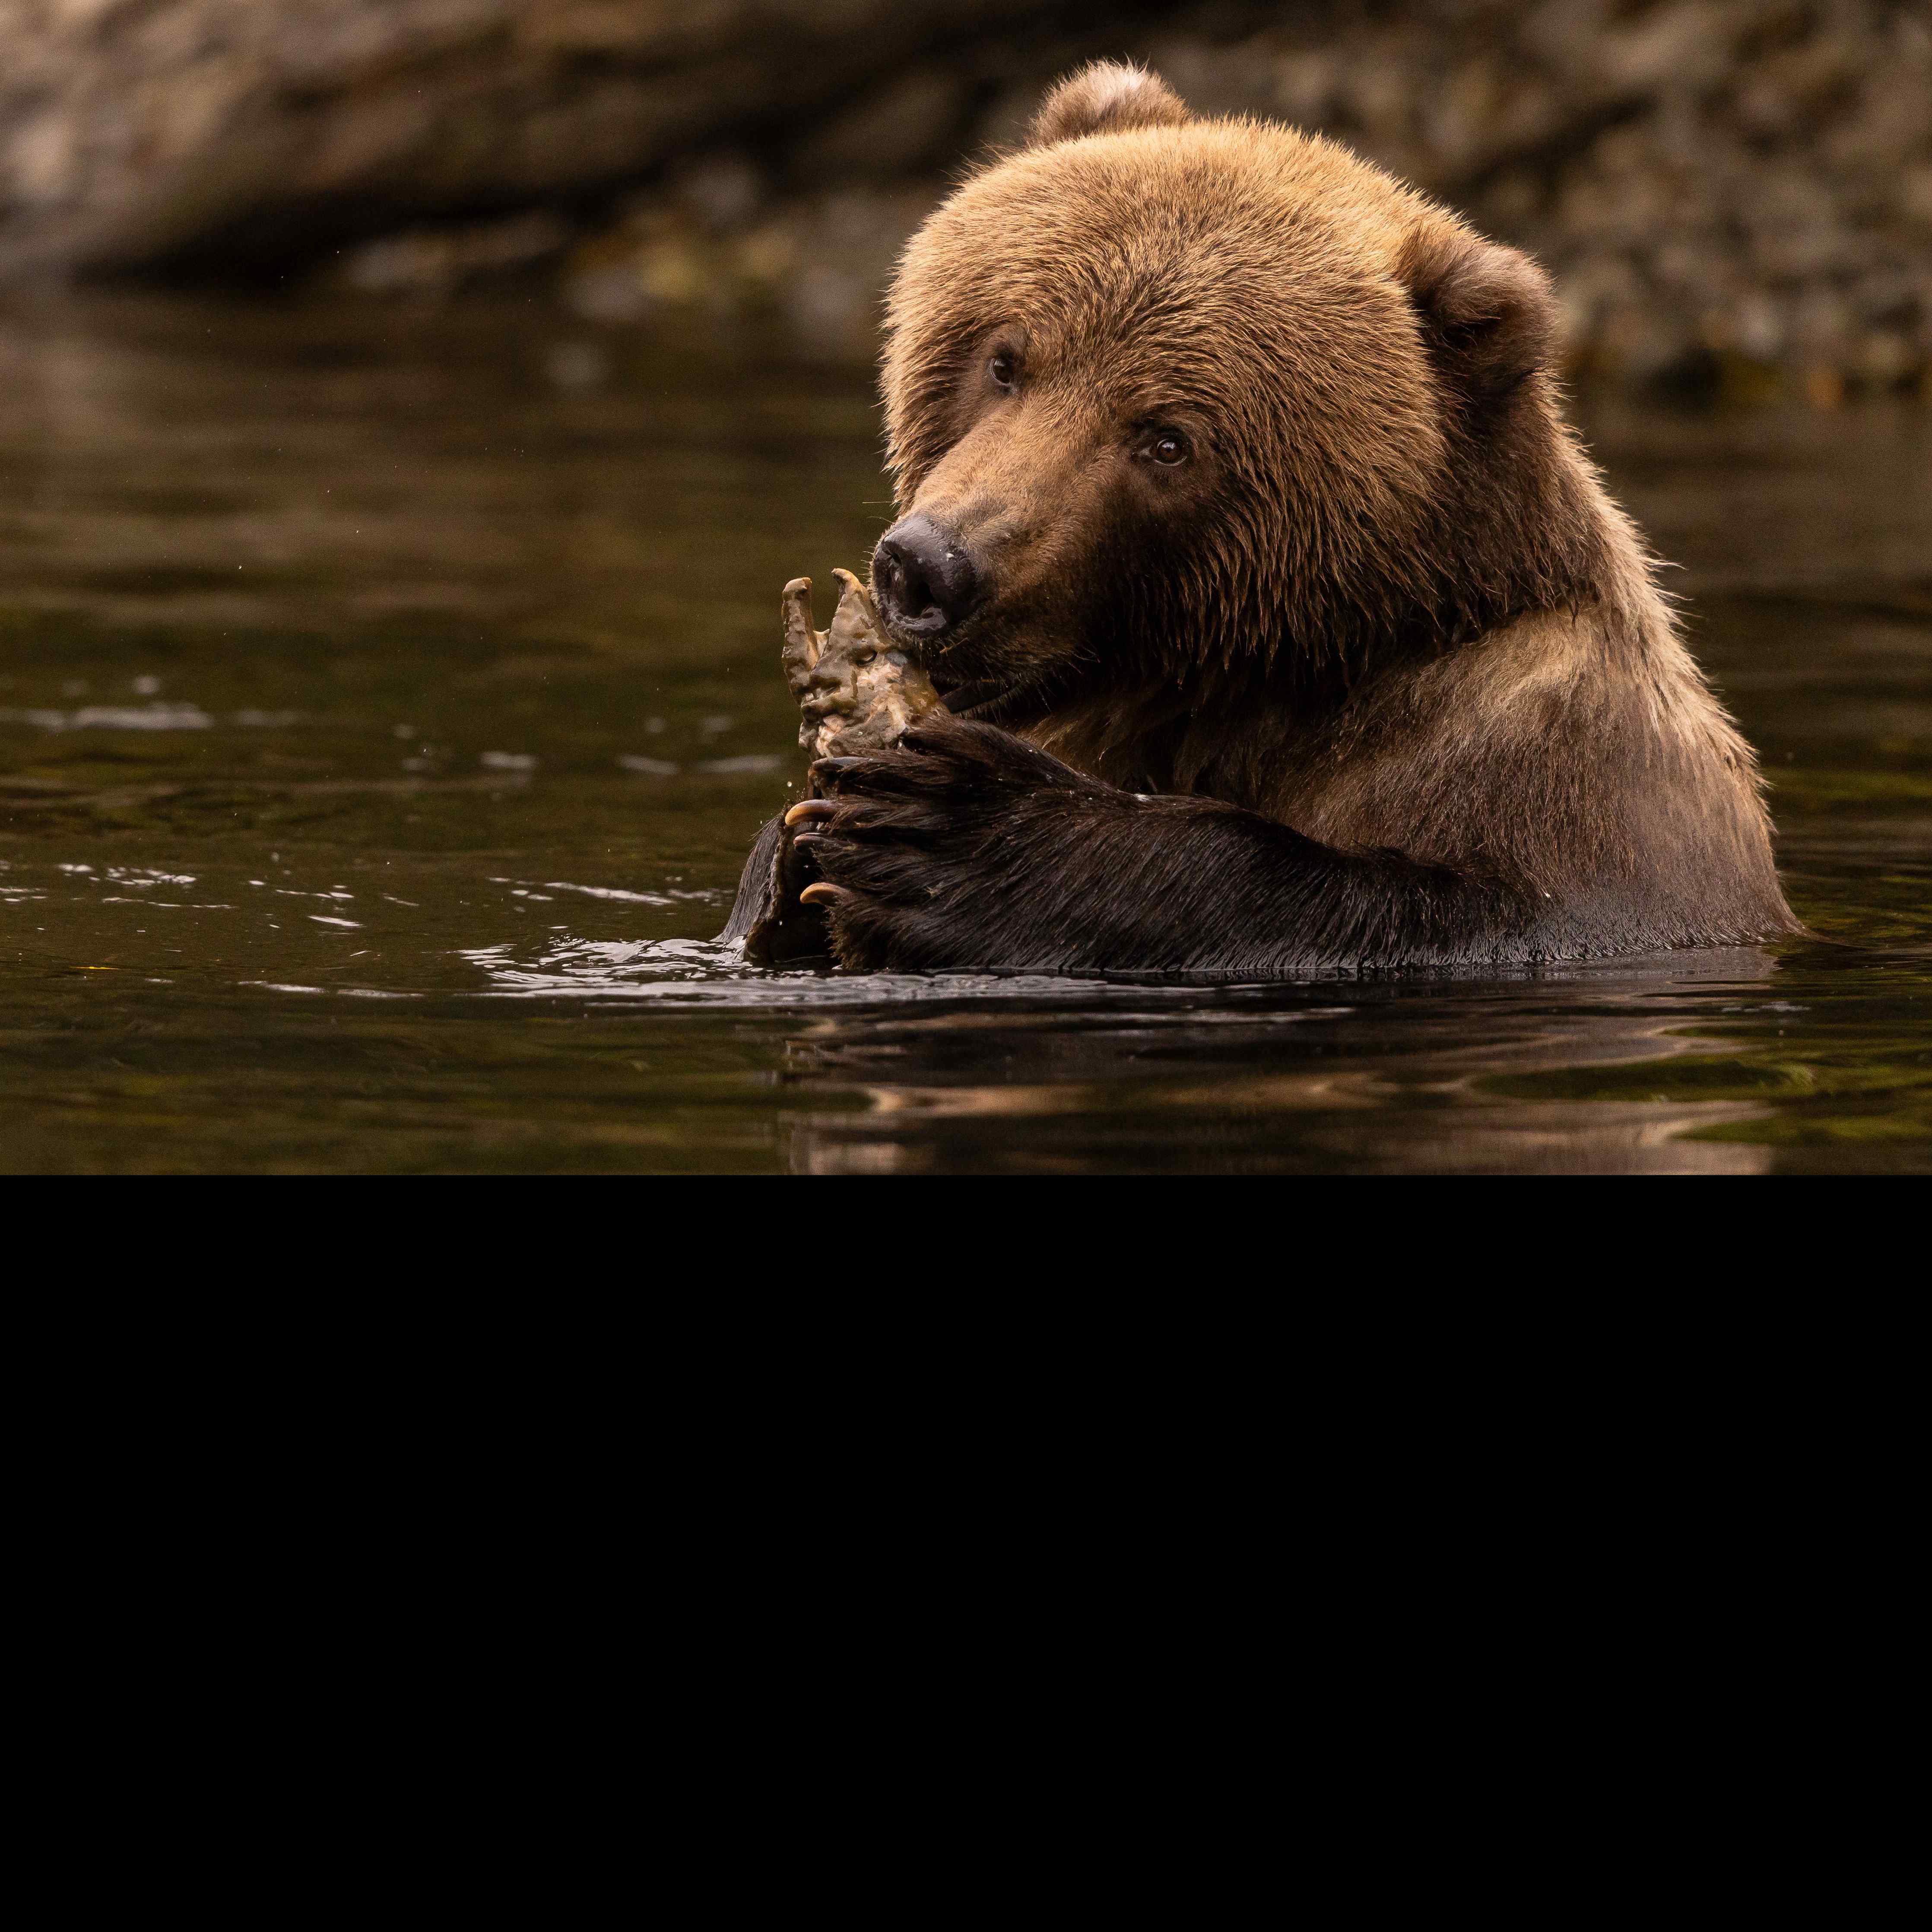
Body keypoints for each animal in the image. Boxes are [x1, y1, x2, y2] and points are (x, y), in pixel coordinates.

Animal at [722, 61, 1799, 974]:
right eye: (1005, 358)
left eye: (1166, 439)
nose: (928, 566)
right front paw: (806, 828)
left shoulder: (1565, 781)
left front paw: (952, 828)